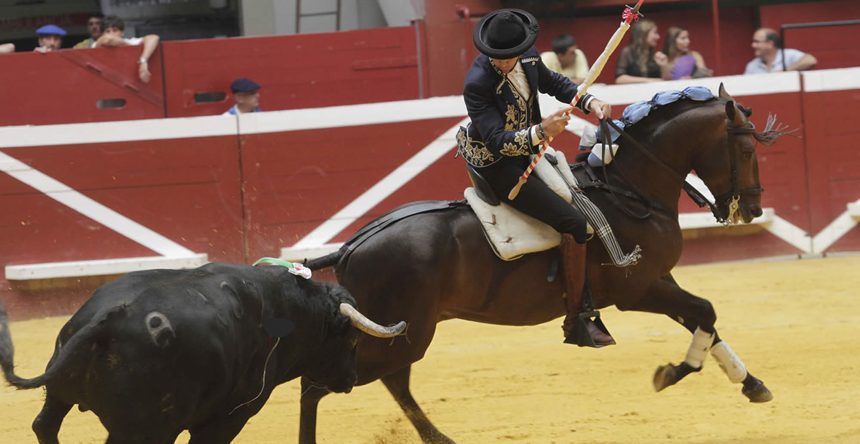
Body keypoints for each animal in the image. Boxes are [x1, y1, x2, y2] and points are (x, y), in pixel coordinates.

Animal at [0, 262, 404, 442]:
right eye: (351, 341)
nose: (350, 379)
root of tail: (108, 317)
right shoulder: (228, 417)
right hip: (144, 430)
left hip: (59, 393)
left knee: (45, 425)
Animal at [296, 84, 788, 444]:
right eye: (747, 151)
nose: (753, 209)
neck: (629, 190)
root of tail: (350, 247)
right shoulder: (639, 289)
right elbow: (705, 312)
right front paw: (670, 373)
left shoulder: (659, 281)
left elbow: (705, 318)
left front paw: (752, 384)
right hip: (398, 335)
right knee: (319, 384)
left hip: (401, 335)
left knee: (392, 382)